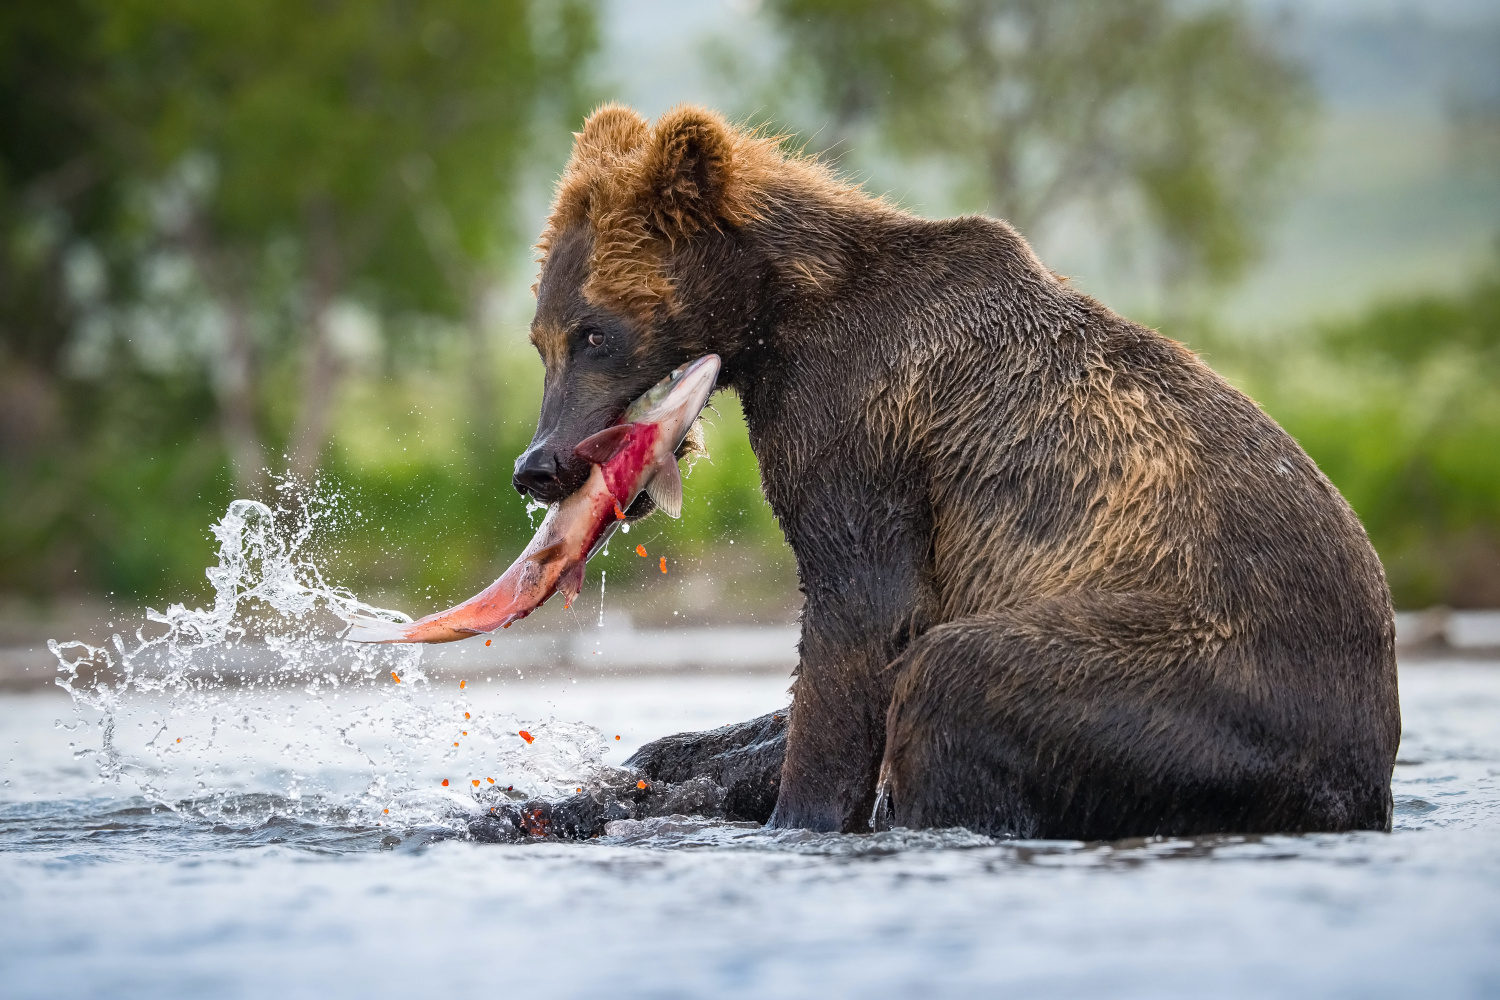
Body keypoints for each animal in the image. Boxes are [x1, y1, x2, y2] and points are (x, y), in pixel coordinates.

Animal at [510, 103, 1398, 839]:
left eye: (595, 334)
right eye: (541, 337)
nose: (539, 465)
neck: (781, 313)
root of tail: (1367, 777)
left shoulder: (856, 420)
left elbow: (860, 615)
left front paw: (800, 817)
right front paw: (659, 763)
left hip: (1195, 677)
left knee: (958, 678)